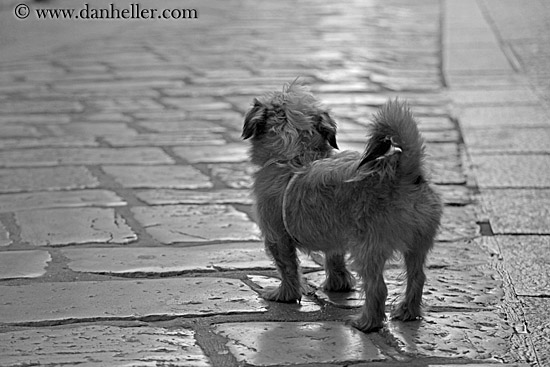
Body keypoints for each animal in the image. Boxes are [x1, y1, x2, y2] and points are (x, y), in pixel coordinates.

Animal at [242, 83, 444, 334]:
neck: (297, 155)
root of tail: (403, 172)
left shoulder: (276, 237)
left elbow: (287, 267)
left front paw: (285, 294)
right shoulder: (334, 235)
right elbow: (334, 258)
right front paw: (338, 284)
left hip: (368, 248)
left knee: (378, 288)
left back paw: (367, 322)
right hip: (418, 245)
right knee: (417, 277)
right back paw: (408, 311)